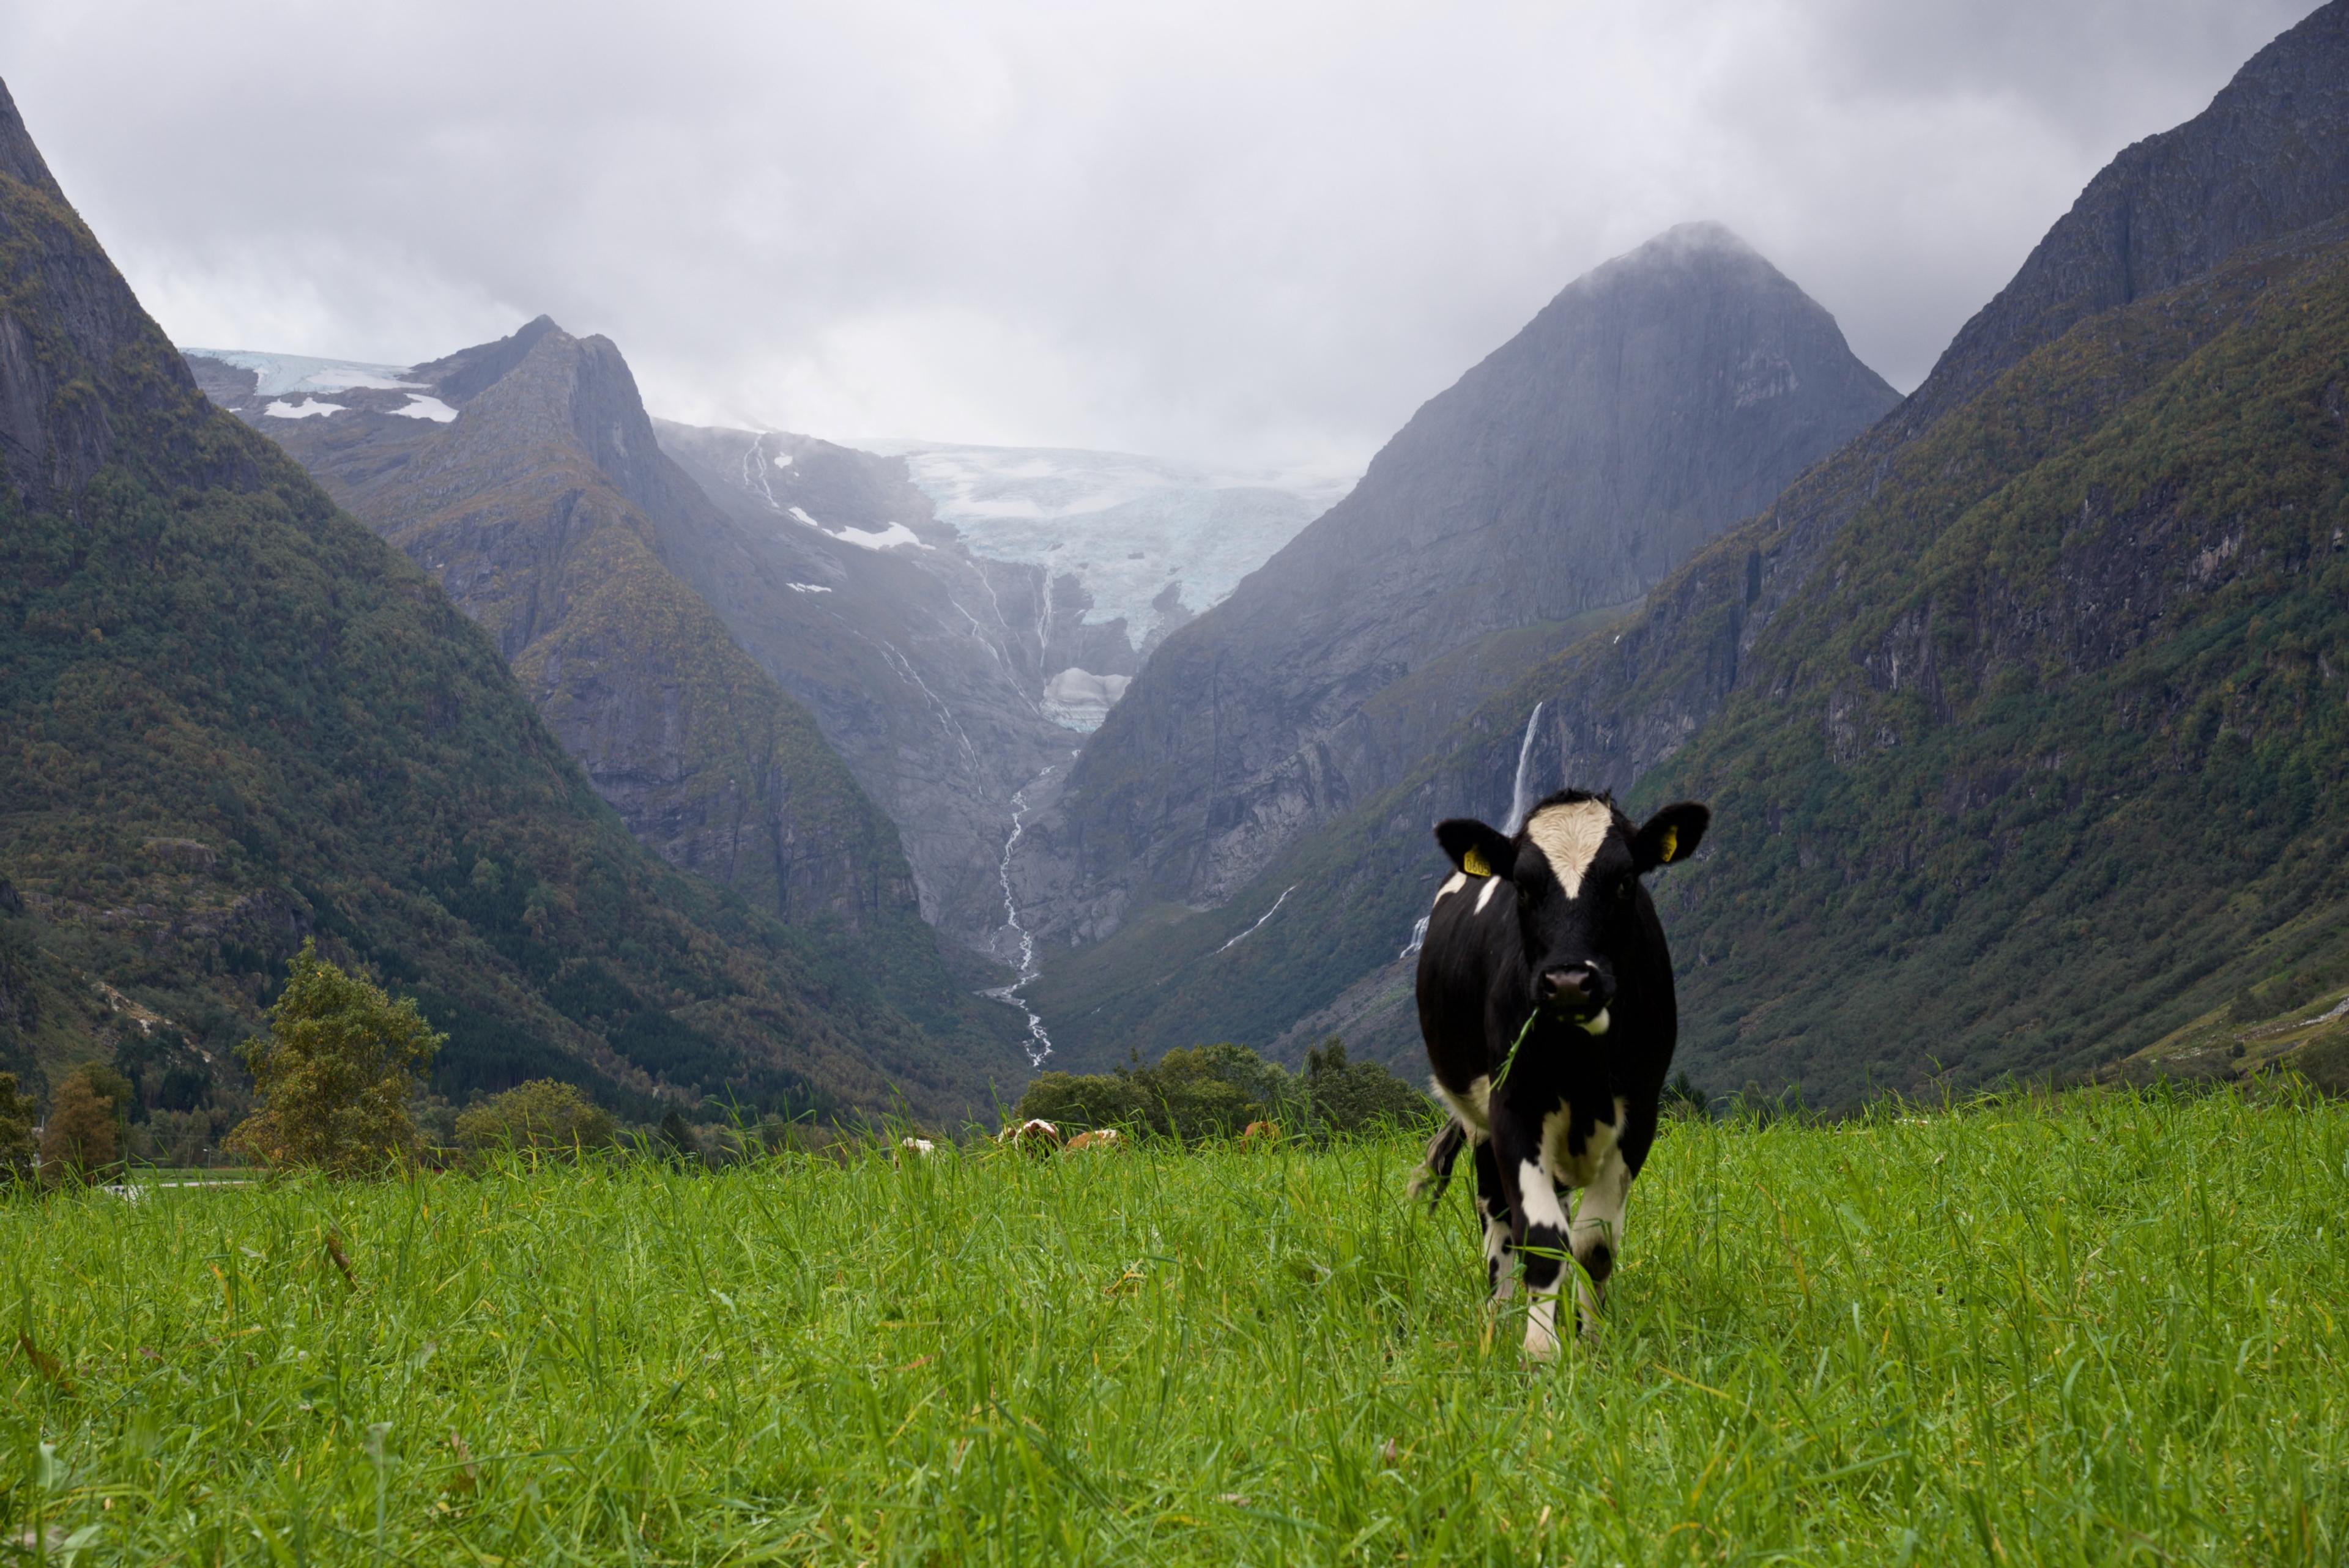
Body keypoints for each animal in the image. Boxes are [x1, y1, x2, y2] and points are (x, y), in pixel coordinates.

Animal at [1411, 788, 1709, 1358]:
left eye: (1624, 881)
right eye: (1523, 887)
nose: (1570, 981)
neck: (1581, 1061)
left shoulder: (1640, 1111)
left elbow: (1593, 1243)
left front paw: (1592, 1339)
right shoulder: (1514, 1106)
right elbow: (1543, 1237)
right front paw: (1540, 1348)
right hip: (1480, 1122)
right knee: (1496, 1213)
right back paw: (1500, 1315)